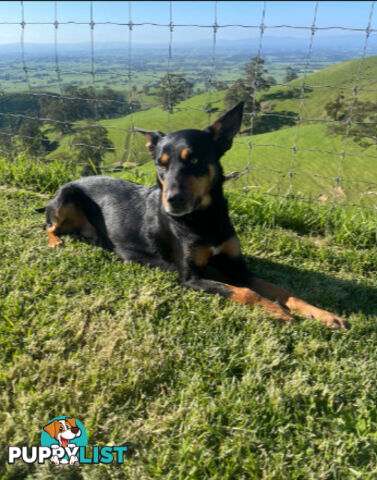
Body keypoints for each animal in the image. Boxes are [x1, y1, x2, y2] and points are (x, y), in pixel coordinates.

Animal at [38, 102, 344, 330]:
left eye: (194, 159)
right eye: (160, 164)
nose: (173, 200)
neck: (203, 220)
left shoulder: (237, 268)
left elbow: (281, 290)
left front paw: (322, 313)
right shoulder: (190, 278)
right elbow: (246, 291)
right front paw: (276, 311)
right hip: (66, 197)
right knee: (48, 226)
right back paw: (55, 242)